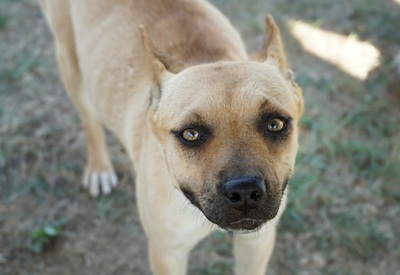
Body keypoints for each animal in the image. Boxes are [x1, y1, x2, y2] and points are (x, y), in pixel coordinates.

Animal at [39, 0, 304, 274]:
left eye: (275, 124)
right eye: (190, 134)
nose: (244, 192)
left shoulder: (256, 243)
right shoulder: (167, 254)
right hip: (71, 66)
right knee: (89, 119)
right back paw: (99, 168)